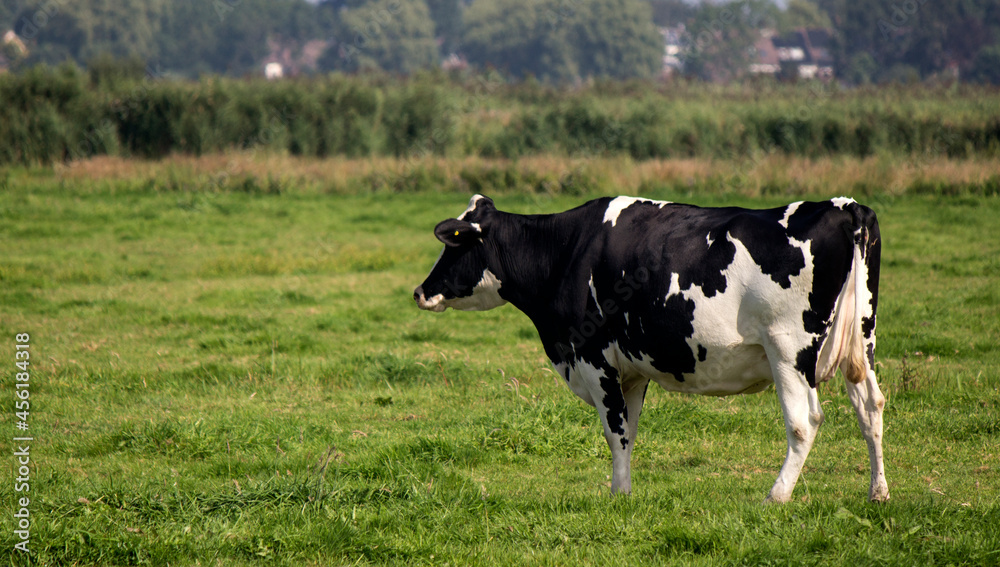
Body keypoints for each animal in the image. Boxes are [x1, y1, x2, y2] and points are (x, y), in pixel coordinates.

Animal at [414, 194, 892, 502]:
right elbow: (629, 431)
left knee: (804, 422)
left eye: (452, 245)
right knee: (870, 406)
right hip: (862, 339)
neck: (566, 251)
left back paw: (776, 496)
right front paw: (623, 492)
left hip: (788, 350)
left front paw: (619, 497)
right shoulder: (631, 369)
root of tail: (845, 206)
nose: (420, 292)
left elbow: (615, 431)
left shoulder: (594, 356)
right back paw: (878, 493)